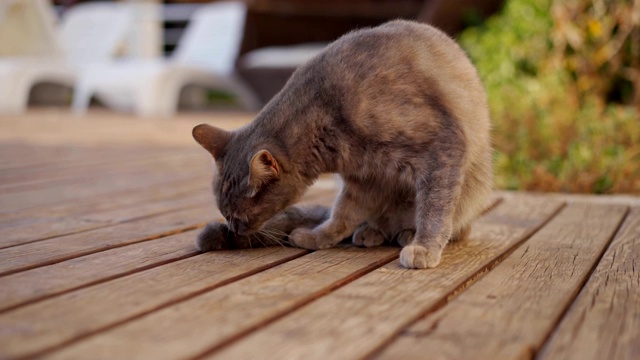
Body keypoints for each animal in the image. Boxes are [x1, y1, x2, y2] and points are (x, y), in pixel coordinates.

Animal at [192, 19, 492, 268]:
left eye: (238, 217)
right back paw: (371, 230)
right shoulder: (366, 177)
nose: (234, 230)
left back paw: (407, 233)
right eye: (224, 214)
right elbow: (342, 214)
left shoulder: (442, 146)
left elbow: (434, 208)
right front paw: (318, 236)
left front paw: (424, 248)